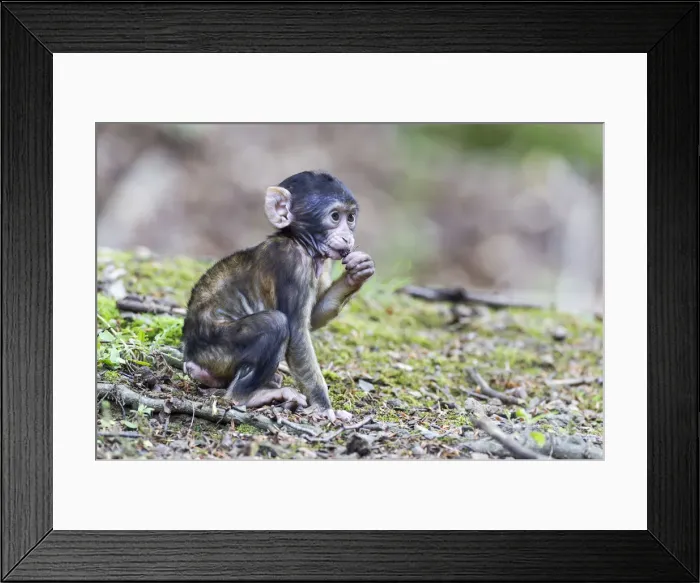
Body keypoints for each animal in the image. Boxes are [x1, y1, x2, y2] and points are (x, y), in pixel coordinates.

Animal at [181, 171, 375, 422]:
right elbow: (298, 332)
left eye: (350, 218)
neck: (301, 243)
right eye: (335, 217)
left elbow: (312, 319)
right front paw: (323, 407)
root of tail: (192, 359)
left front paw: (357, 273)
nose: (348, 237)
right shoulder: (292, 262)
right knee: (274, 323)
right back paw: (247, 397)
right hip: (215, 353)